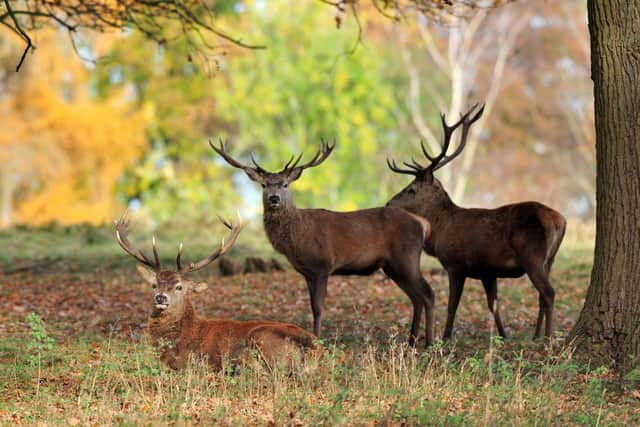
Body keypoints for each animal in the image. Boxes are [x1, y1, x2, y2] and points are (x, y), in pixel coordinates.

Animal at [114, 212, 317, 371]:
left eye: (179, 286)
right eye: (154, 285)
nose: (160, 298)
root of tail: (314, 350)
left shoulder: (194, 359)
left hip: (261, 337)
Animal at [209, 140, 435, 347]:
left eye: (285, 184)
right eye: (264, 185)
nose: (274, 198)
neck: (297, 238)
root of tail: (423, 223)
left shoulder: (322, 266)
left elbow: (318, 308)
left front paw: (317, 340)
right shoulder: (307, 272)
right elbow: (311, 306)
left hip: (406, 257)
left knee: (428, 294)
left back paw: (429, 343)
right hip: (392, 266)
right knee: (416, 298)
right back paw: (412, 341)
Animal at [386, 104, 566, 339]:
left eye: (411, 189)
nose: (389, 203)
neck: (440, 231)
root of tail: (560, 221)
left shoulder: (456, 264)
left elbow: (452, 304)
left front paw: (445, 337)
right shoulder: (487, 271)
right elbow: (493, 304)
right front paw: (503, 336)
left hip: (532, 256)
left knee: (549, 292)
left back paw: (547, 338)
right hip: (550, 260)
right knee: (542, 296)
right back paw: (536, 336)